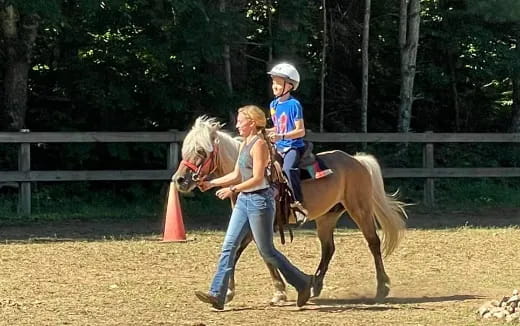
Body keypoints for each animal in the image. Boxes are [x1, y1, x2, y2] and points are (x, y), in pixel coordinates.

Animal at [173, 116, 408, 304]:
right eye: (185, 150)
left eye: (201, 151)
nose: (179, 180)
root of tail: (357, 161)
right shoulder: (250, 224)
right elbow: (245, 252)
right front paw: (230, 292)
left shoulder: (259, 223)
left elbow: (259, 252)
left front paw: (278, 292)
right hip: (327, 217)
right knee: (328, 248)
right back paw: (315, 286)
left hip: (360, 209)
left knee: (373, 242)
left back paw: (381, 288)